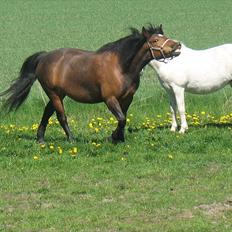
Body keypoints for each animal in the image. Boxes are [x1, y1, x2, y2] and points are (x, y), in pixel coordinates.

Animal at [0, 24, 181, 142]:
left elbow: (123, 118)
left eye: (164, 36)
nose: (177, 45)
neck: (121, 67)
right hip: (54, 93)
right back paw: (71, 139)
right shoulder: (109, 99)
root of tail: (44, 57)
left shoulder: (127, 98)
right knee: (61, 116)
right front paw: (113, 138)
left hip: (59, 94)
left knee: (47, 112)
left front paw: (119, 138)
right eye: (155, 40)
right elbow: (121, 118)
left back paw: (40, 139)